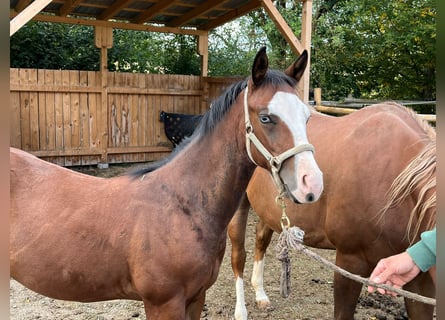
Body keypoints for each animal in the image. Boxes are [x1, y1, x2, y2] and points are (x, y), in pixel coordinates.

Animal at [9, 47, 322, 320]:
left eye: (307, 116)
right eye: (266, 117)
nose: (313, 184)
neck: (182, 206)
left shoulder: (196, 297)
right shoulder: (163, 303)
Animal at [227, 102, 436, 320]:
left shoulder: (420, 278)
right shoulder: (349, 261)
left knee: (261, 240)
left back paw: (260, 294)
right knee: (238, 256)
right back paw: (240, 311)